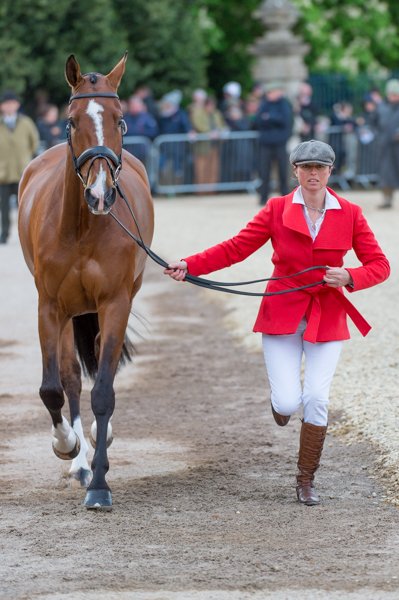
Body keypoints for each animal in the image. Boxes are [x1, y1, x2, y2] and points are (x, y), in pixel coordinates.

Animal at [18, 54, 155, 508]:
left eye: (120, 119)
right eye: (72, 120)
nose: (100, 194)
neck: (82, 227)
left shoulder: (114, 303)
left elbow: (104, 392)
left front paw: (100, 484)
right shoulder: (49, 307)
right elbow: (54, 387)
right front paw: (68, 447)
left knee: (97, 368)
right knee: (72, 377)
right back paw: (78, 459)